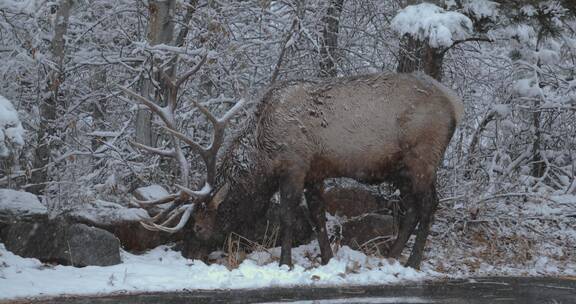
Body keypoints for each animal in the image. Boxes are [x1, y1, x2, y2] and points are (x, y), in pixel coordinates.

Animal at [122, 72, 464, 270]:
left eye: (198, 226)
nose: (187, 256)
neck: (263, 151)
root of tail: (455, 104)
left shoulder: (294, 166)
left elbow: (288, 215)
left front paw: (285, 263)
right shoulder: (315, 171)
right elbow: (318, 216)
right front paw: (327, 259)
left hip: (422, 156)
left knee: (428, 204)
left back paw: (413, 261)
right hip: (402, 168)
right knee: (413, 207)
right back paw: (392, 255)